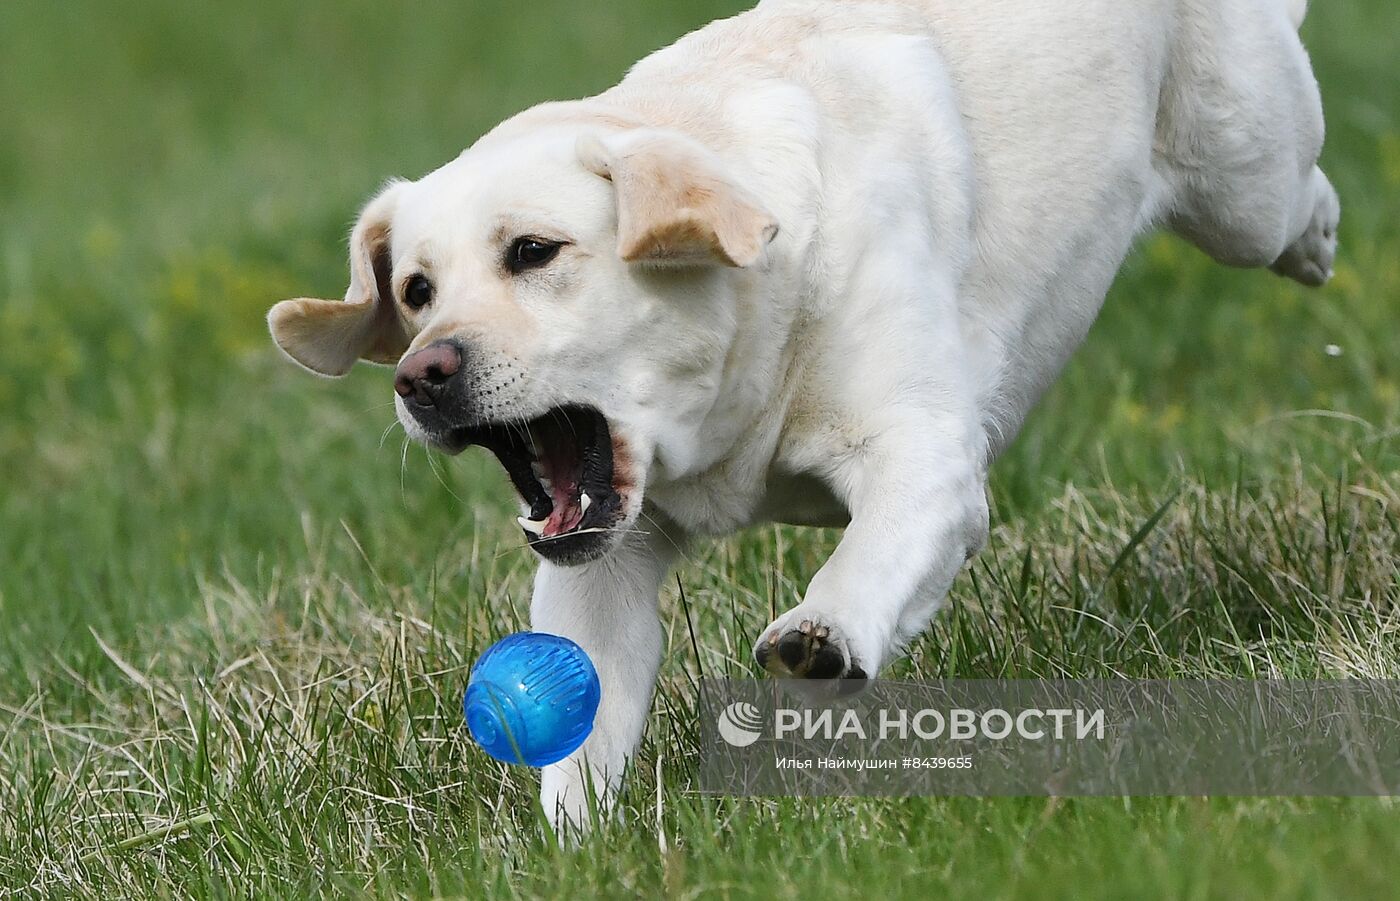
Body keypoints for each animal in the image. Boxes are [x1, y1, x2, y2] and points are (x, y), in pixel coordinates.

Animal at [270, 0, 1332, 828]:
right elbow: (589, 706)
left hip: (1242, 178)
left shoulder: (920, 452)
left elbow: (870, 553)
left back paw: (1319, 239)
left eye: (534, 250)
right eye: (415, 289)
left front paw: (822, 636)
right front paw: (575, 843)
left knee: (1294, 183)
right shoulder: (604, 556)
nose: (420, 373)